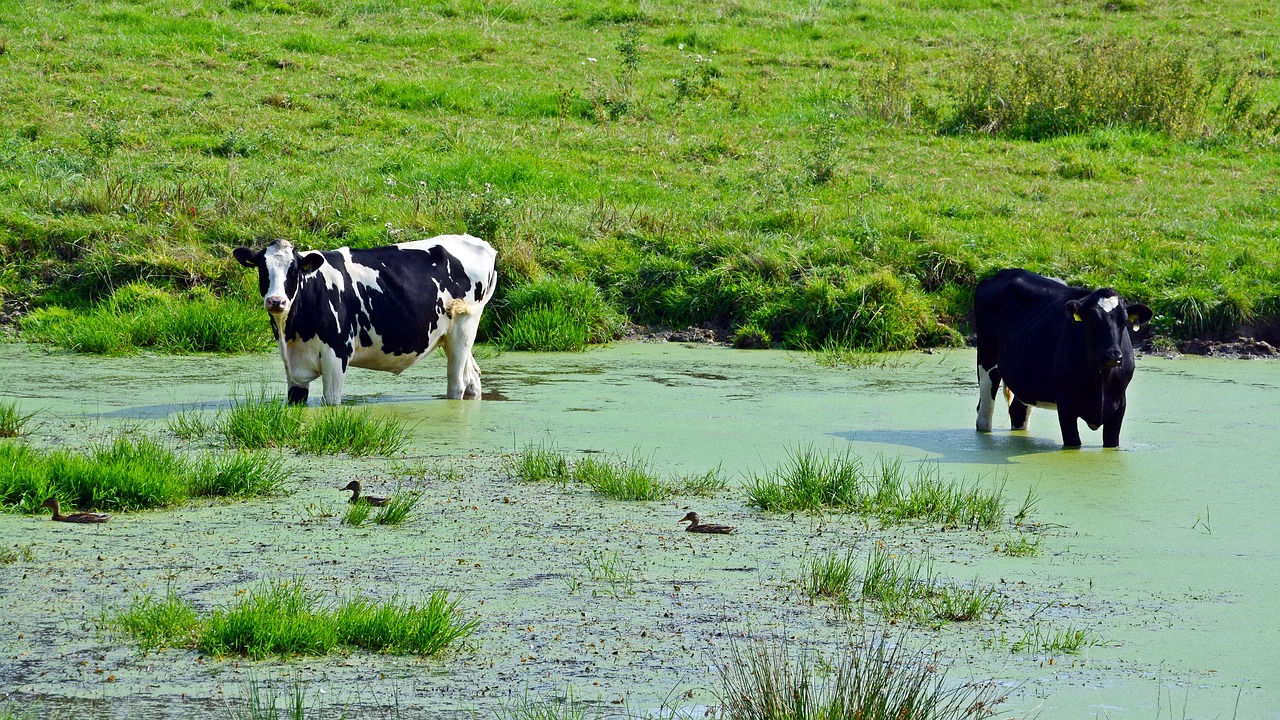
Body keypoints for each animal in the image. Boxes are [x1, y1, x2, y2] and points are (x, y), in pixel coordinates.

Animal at [232, 234, 496, 404]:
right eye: (262, 269)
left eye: (294, 270)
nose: (276, 301)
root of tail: (481, 243)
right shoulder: (292, 365)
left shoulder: (336, 354)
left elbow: (332, 401)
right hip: (452, 336)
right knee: (472, 377)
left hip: (464, 326)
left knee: (457, 383)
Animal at [972, 266, 1157, 445]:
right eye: (1092, 321)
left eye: (1124, 322)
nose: (1112, 356)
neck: (1100, 381)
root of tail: (1005, 272)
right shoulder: (1065, 404)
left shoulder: (1119, 406)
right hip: (986, 360)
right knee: (984, 413)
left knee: (1018, 412)